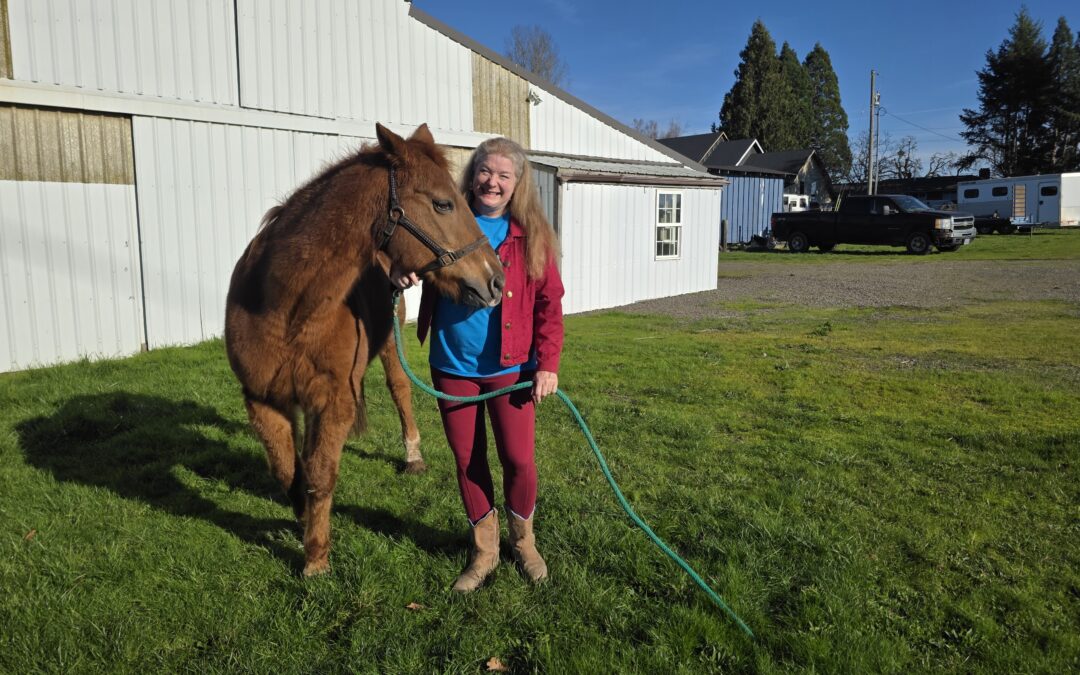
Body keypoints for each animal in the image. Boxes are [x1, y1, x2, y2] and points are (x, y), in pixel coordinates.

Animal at [224, 123, 505, 577]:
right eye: (443, 203)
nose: (496, 280)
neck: (283, 305)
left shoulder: (332, 399)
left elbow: (320, 473)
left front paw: (316, 557)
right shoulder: (262, 400)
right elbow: (287, 471)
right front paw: (302, 519)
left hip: (391, 346)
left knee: (400, 392)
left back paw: (412, 456)